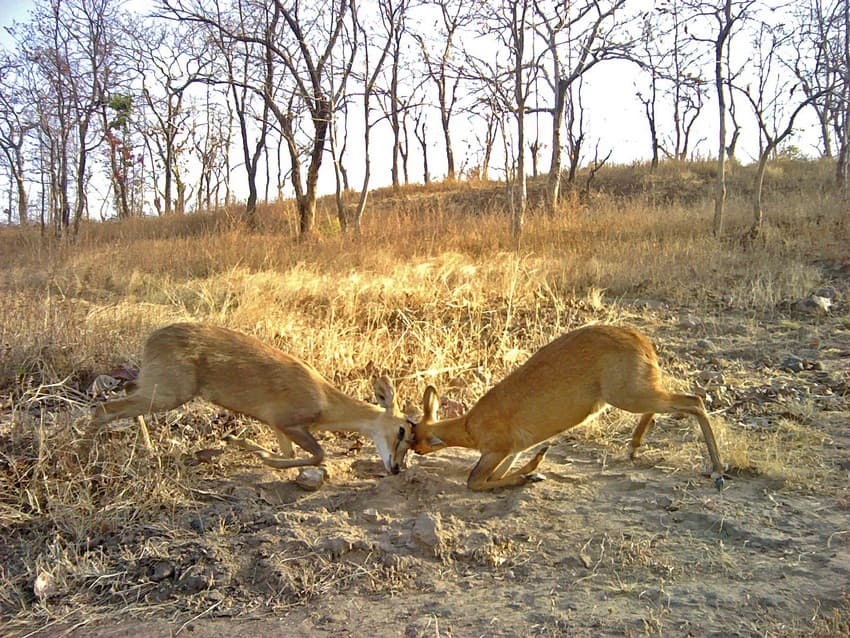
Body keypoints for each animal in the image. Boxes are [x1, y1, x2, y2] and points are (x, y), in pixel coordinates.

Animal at [88, 324, 412, 476]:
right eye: (402, 430)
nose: (396, 467)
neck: (325, 401)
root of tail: (152, 338)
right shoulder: (288, 422)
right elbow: (318, 455)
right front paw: (264, 458)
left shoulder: (278, 427)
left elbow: (289, 454)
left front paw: (237, 441)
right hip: (170, 393)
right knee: (103, 407)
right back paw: (85, 458)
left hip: (156, 386)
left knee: (127, 388)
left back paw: (149, 450)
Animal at [408, 328, 724, 492]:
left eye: (414, 434)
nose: (414, 450)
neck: (469, 426)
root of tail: (641, 339)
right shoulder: (510, 452)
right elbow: (493, 478)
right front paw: (533, 468)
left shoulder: (497, 451)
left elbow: (475, 482)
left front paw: (532, 472)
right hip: (637, 394)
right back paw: (633, 447)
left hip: (628, 396)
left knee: (693, 401)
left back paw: (718, 470)